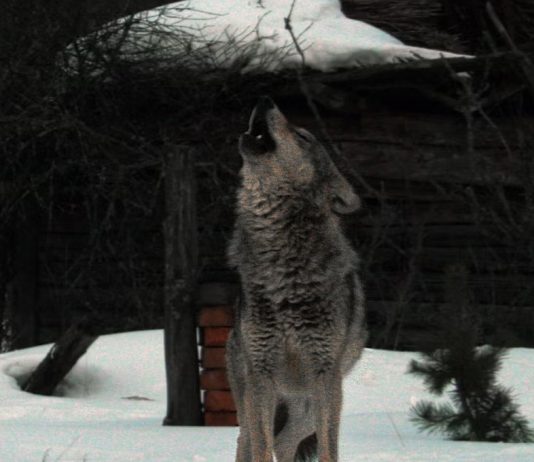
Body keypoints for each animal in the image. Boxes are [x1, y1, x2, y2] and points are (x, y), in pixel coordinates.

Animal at [226, 96, 367, 462]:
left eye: (303, 136)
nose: (265, 98)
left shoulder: (326, 377)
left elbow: (329, 451)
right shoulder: (261, 375)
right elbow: (261, 449)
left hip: (306, 408)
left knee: (285, 443)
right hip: (251, 396)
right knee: (248, 441)